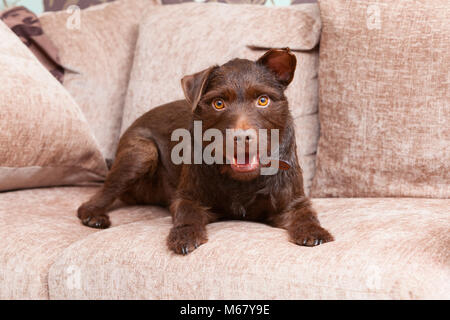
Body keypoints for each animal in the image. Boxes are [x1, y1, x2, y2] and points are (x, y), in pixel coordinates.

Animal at [77, 47, 332, 254]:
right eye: (219, 103)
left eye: (263, 100)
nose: (241, 138)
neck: (241, 180)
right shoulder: (187, 197)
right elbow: (187, 213)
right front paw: (184, 235)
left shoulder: (294, 201)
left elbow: (305, 214)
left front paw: (314, 232)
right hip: (142, 152)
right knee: (99, 195)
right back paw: (93, 215)